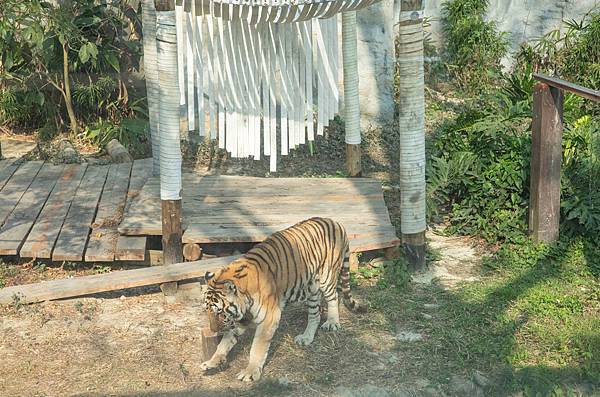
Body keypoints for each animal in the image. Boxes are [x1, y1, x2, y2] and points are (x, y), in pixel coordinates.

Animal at [202, 217, 364, 380]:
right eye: (206, 311)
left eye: (220, 312)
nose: (213, 330)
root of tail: (334, 221)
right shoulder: (242, 319)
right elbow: (225, 341)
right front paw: (212, 361)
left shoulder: (269, 317)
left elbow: (257, 347)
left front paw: (250, 372)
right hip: (312, 288)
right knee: (315, 315)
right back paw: (306, 338)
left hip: (327, 277)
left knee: (334, 297)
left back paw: (332, 323)